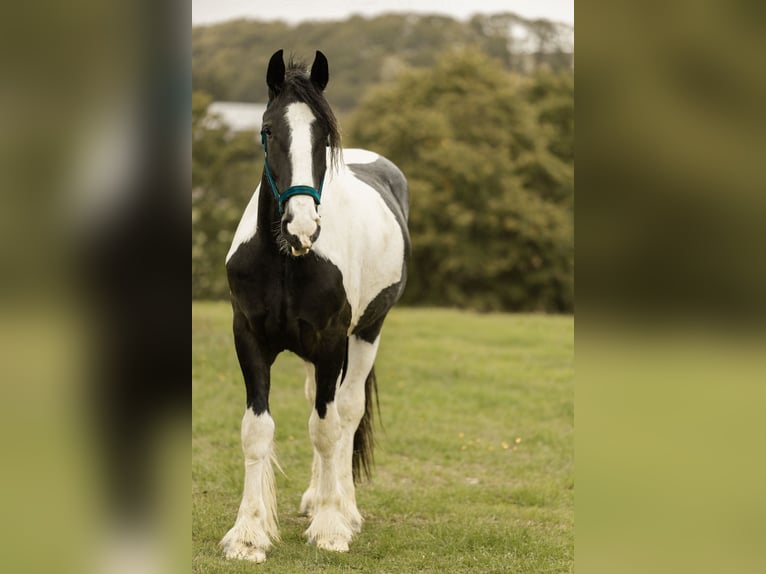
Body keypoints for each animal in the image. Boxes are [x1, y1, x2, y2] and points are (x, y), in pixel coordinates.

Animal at [220, 49, 410, 563]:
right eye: (268, 130)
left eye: (324, 137)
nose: (301, 226)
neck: (288, 260)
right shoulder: (249, 340)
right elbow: (257, 431)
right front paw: (249, 533)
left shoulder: (330, 344)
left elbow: (327, 430)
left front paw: (330, 528)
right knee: (318, 406)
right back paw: (314, 497)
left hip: (365, 335)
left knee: (345, 413)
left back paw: (344, 507)